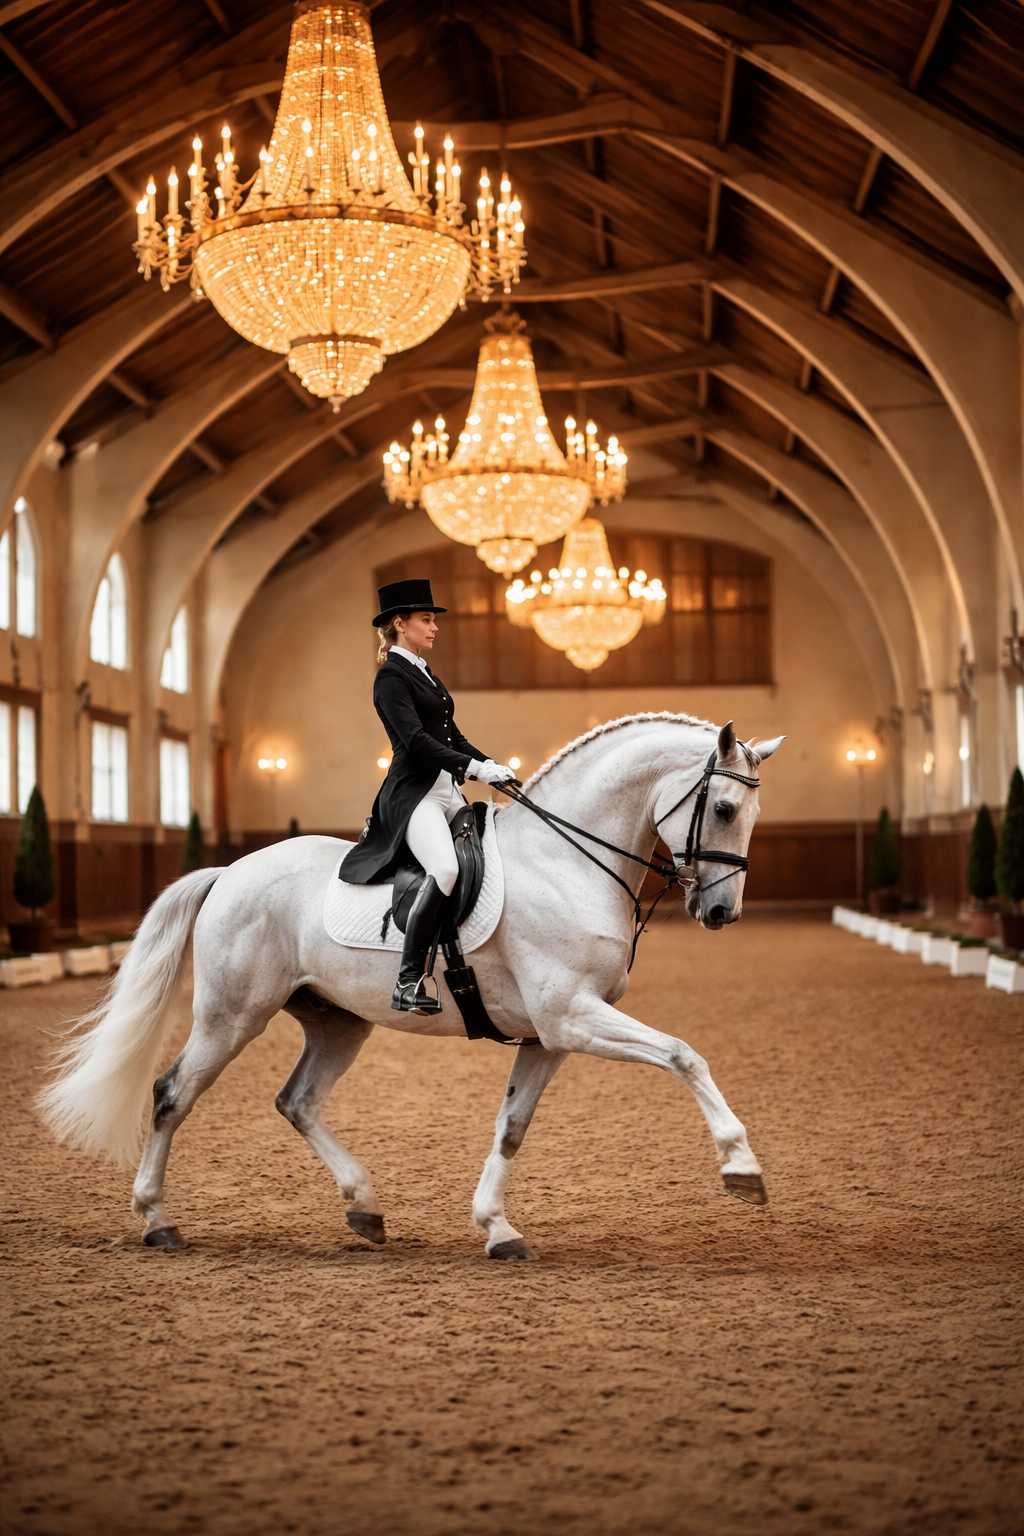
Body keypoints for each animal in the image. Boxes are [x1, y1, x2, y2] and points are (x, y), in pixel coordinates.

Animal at [37, 712, 784, 1260]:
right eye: (722, 808)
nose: (721, 913)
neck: (564, 862)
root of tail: (231, 871)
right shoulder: (573, 1016)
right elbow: (685, 1054)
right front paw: (741, 1167)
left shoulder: (549, 1036)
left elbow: (512, 1127)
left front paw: (497, 1228)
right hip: (232, 1015)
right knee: (172, 1094)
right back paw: (156, 1220)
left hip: (338, 1021)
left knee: (297, 1101)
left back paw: (364, 1208)